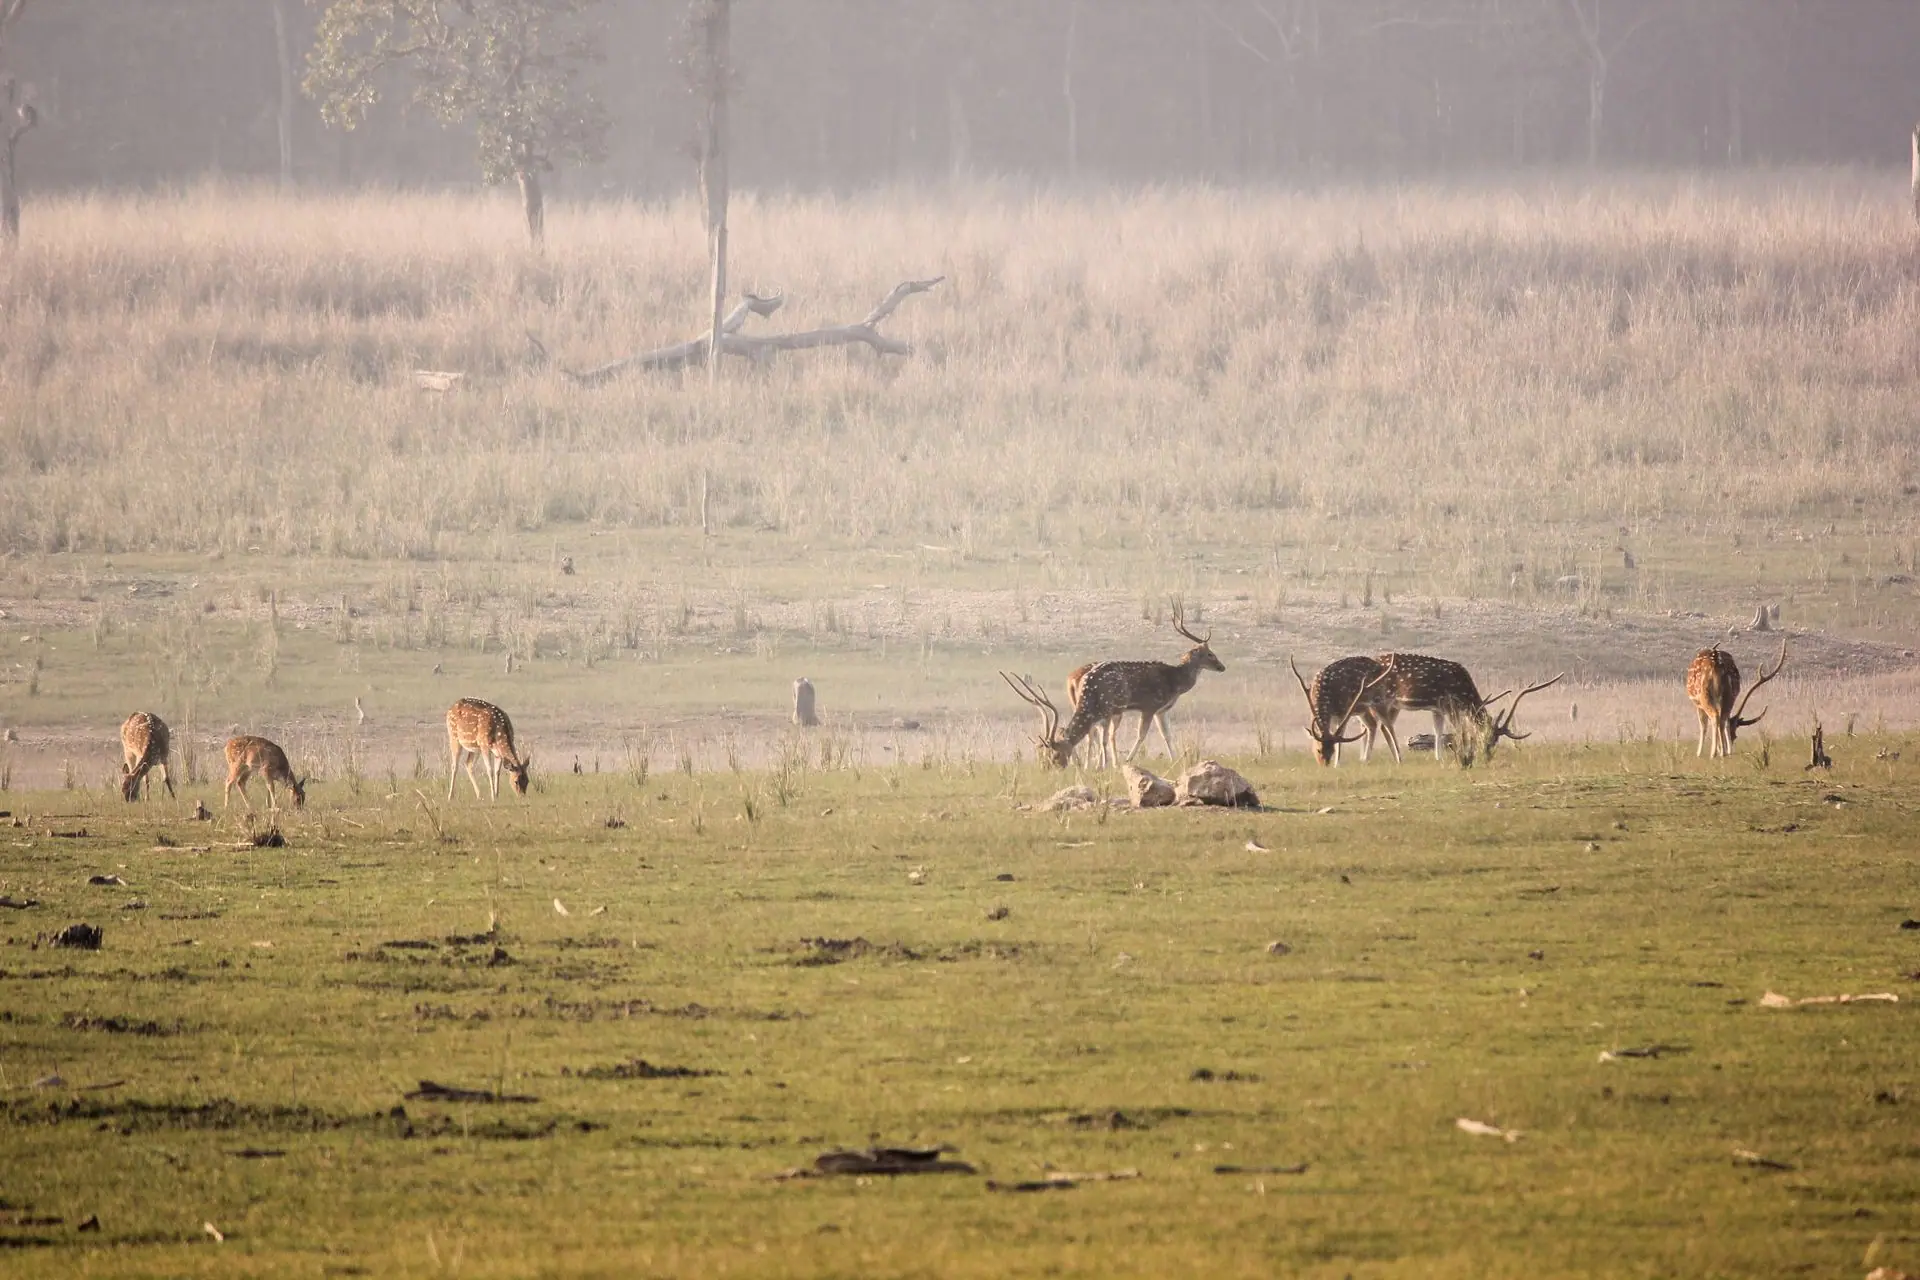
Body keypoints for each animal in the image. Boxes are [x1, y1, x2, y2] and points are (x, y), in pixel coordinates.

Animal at [1369, 653, 1564, 766]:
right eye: (1486, 737)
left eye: (1495, 741)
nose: (1486, 755)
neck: (1464, 690)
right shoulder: (1448, 702)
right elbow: (1458, 728)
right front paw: (1463, 756)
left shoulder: (1437, 707)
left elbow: (1438, 731)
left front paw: (1440, 759)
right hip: (1382, 699)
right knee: (1379, 725)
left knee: (1382, 726)